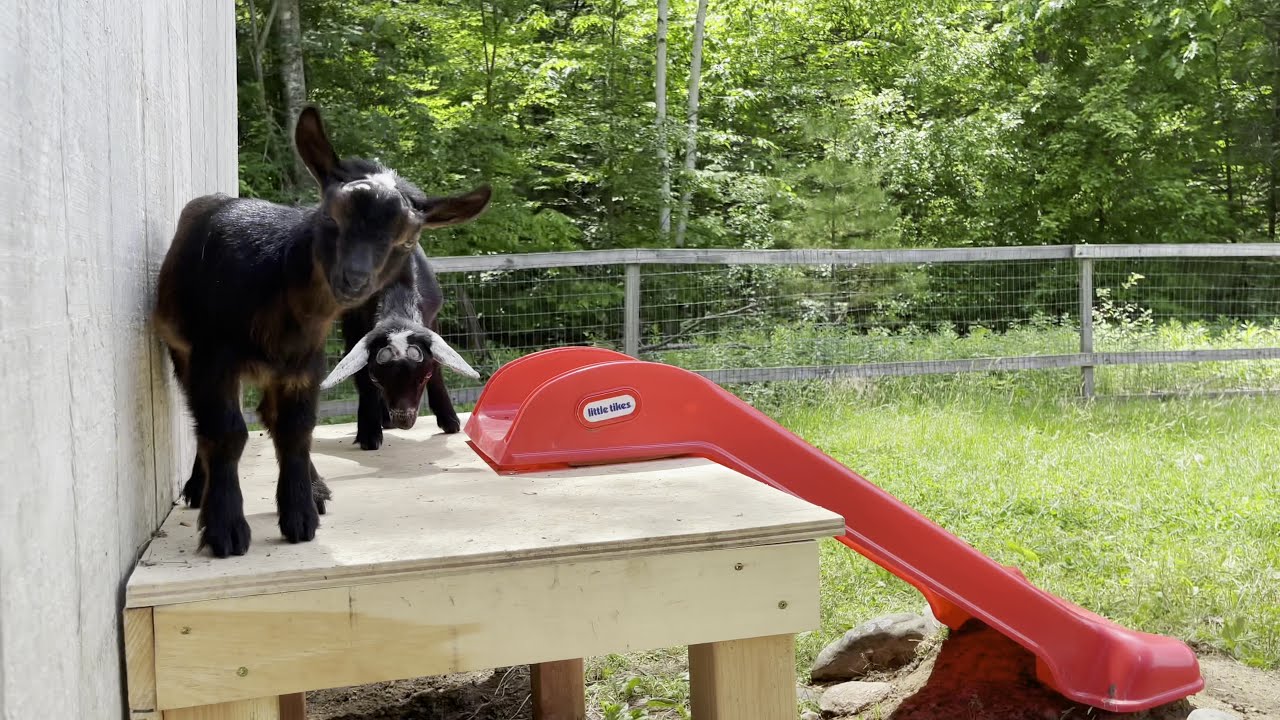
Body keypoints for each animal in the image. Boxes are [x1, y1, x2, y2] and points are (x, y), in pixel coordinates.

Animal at [321, 245, 479, 450]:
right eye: (376, 378)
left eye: (424, 377)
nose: (404, 421)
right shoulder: (355, 322)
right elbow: (363, 378)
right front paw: (369, 435)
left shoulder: (431, 318)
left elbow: (436, 368)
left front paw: (450, 421)